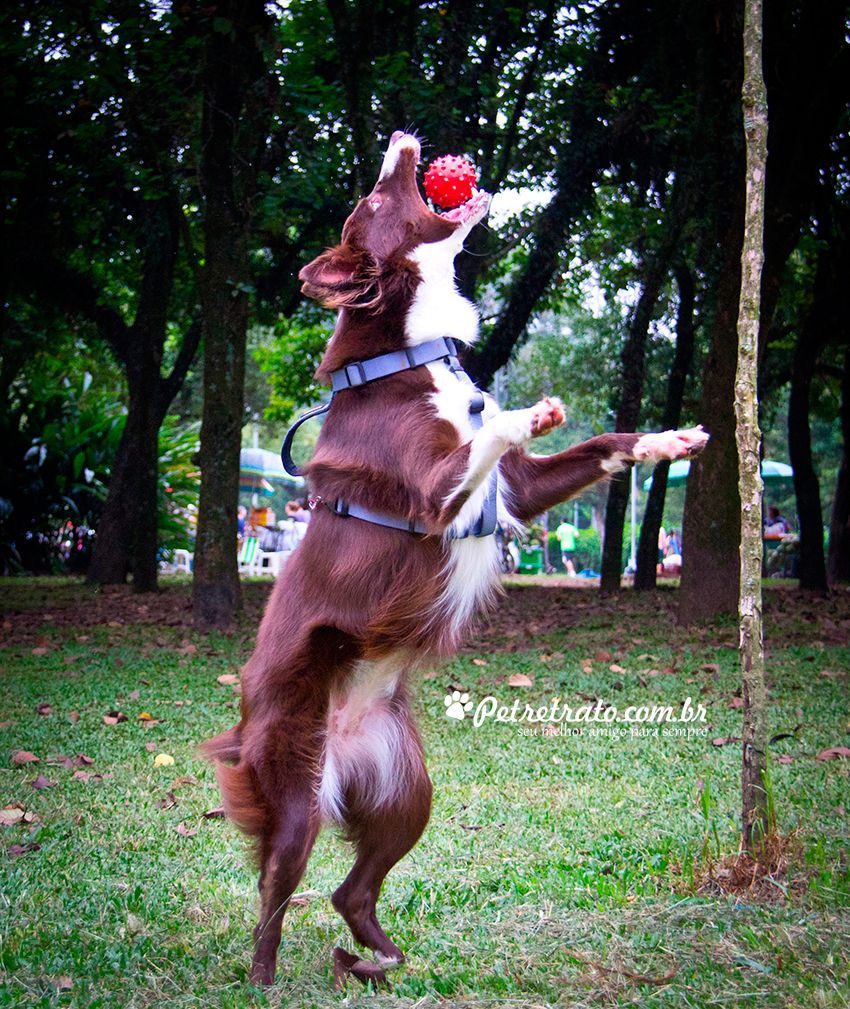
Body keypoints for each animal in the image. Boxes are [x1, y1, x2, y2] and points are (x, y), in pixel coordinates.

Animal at [201, 128, 706, 984]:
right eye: (375, 200)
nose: (401, 139)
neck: (411, 354)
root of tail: (337, 750)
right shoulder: (438, 495)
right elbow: (489, 432)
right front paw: (528, 411)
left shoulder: (518, 493)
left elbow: (603, 444)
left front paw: (667, 440)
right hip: (295, 792)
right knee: (274, 895)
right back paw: (268, 983)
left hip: (409, 792)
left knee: (349, 889)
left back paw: (379, 958)